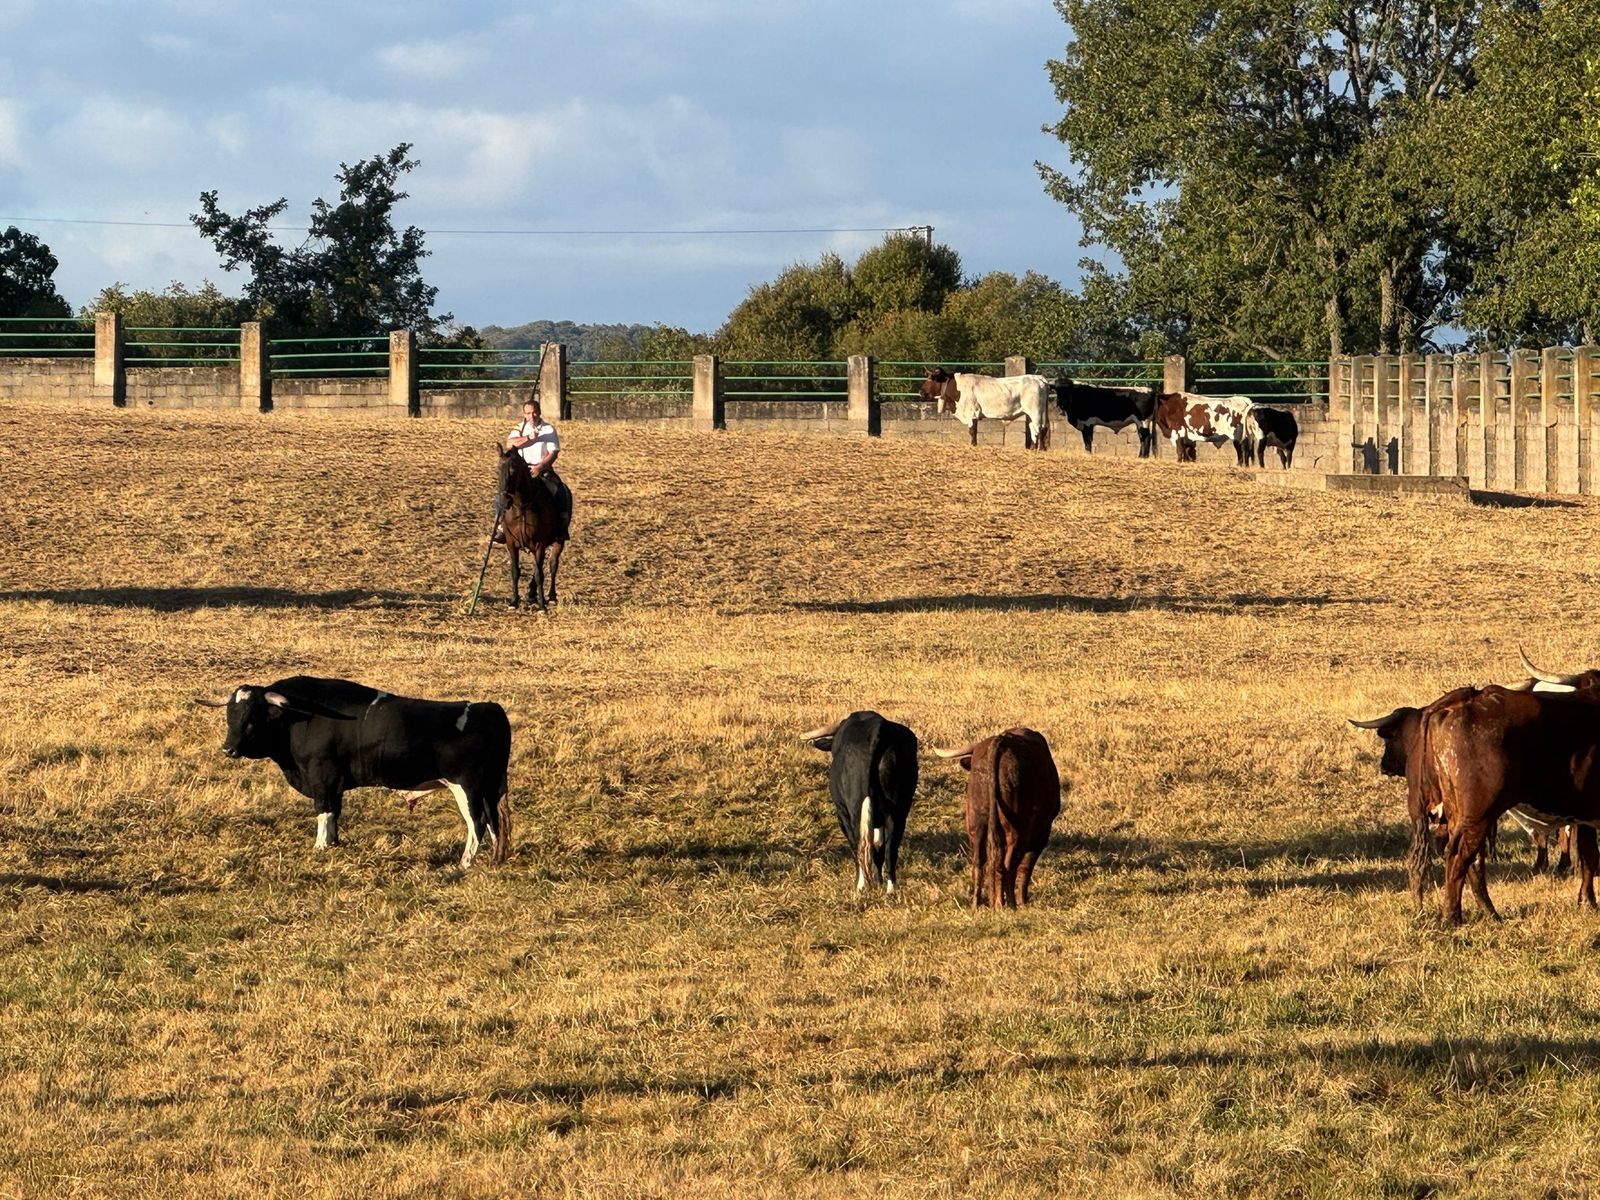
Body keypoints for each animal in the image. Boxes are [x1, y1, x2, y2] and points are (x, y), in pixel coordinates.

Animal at [497, 446, 571, 611]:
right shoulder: (511, 544)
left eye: (513, 470)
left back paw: (551, 597)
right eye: (498, 468)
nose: (505, 501)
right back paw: (531, 594)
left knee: (552, 565)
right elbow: (515, 571)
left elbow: (539, 575)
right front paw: (514, 601)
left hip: (559, 541)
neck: (523, 507)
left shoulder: (540, 544)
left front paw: (542, 606)